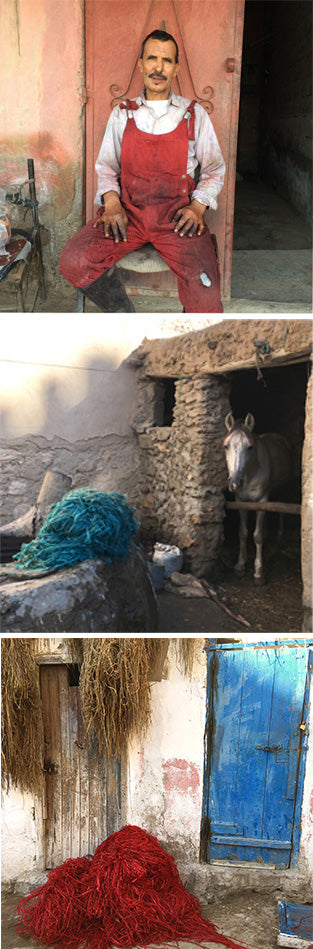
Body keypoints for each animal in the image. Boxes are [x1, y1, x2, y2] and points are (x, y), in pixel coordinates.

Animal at [222, 412, 290, 580]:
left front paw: (258, 571)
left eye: (250, 447)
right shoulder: (241, 502)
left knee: (280, 511)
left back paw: (280, 537)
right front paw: (240, 565)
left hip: (283, 491)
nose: (234, 483)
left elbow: (257, 536)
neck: (250, 473)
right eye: (226, 446)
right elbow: (243, 533)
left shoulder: (262, 500)